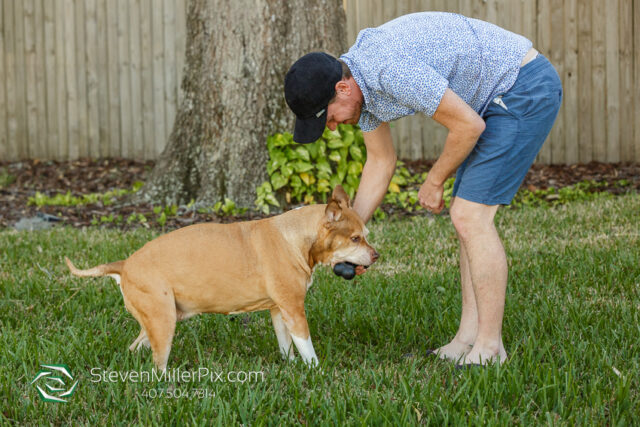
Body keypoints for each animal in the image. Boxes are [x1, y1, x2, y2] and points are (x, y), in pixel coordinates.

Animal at [66, 186, 376, 372]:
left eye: (366, 235)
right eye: (355, 238)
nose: (376, 255)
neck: (296, 235)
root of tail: (125, 264)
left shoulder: (280, 311)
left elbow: (286, 344)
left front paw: (289, 365)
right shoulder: (294, 310)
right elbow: (307, 348)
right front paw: (316, 372)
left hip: (157, 321)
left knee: (135, 348)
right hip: (163, 321)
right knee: (158, 365)